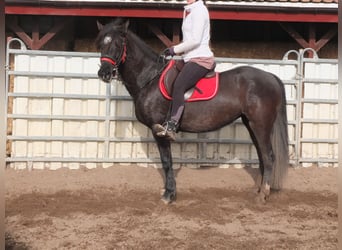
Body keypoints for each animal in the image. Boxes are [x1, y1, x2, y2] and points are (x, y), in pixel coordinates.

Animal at [96, 19, 288, 203]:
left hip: (260, 125)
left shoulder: (160, 131)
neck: (150, 78)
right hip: (251, 124)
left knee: (268, 157)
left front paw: (169, 195)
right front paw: (168, 191)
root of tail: (271, 77)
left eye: (118, 44)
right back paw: (257, 190)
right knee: (262, 156)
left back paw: (263, 195)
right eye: (100, 45)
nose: (104, 73)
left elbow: (167, 162)